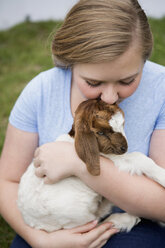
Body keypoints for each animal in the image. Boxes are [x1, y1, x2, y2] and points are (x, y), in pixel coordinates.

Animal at [17, 99, 165, 232]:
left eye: (123, 124)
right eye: (100, 132)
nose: (124, 148)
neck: (74, 140)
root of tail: (32, 222)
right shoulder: (112, 158)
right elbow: (139, 158)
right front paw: (162, 176)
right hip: (78, 217)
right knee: (95, 225)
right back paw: (126, 219)